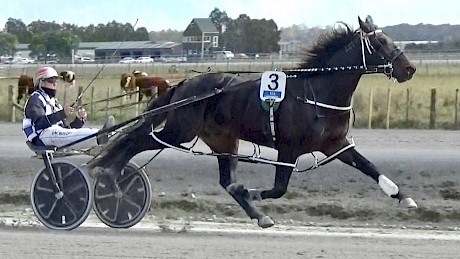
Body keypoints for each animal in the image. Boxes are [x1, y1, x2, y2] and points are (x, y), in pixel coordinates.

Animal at [88, 17, 418, 230]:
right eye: (380, 42)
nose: (409, 68)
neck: (317, 91)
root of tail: (184, 84)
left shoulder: (335, 144)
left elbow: (369, 167)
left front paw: (403, 197)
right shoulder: (288, 149)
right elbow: (279, 188)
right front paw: (254, 192)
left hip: (222, 139)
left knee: (226, 181)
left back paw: (258, 215)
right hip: (179, 130)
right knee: (137, 141)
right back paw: (111, 176)